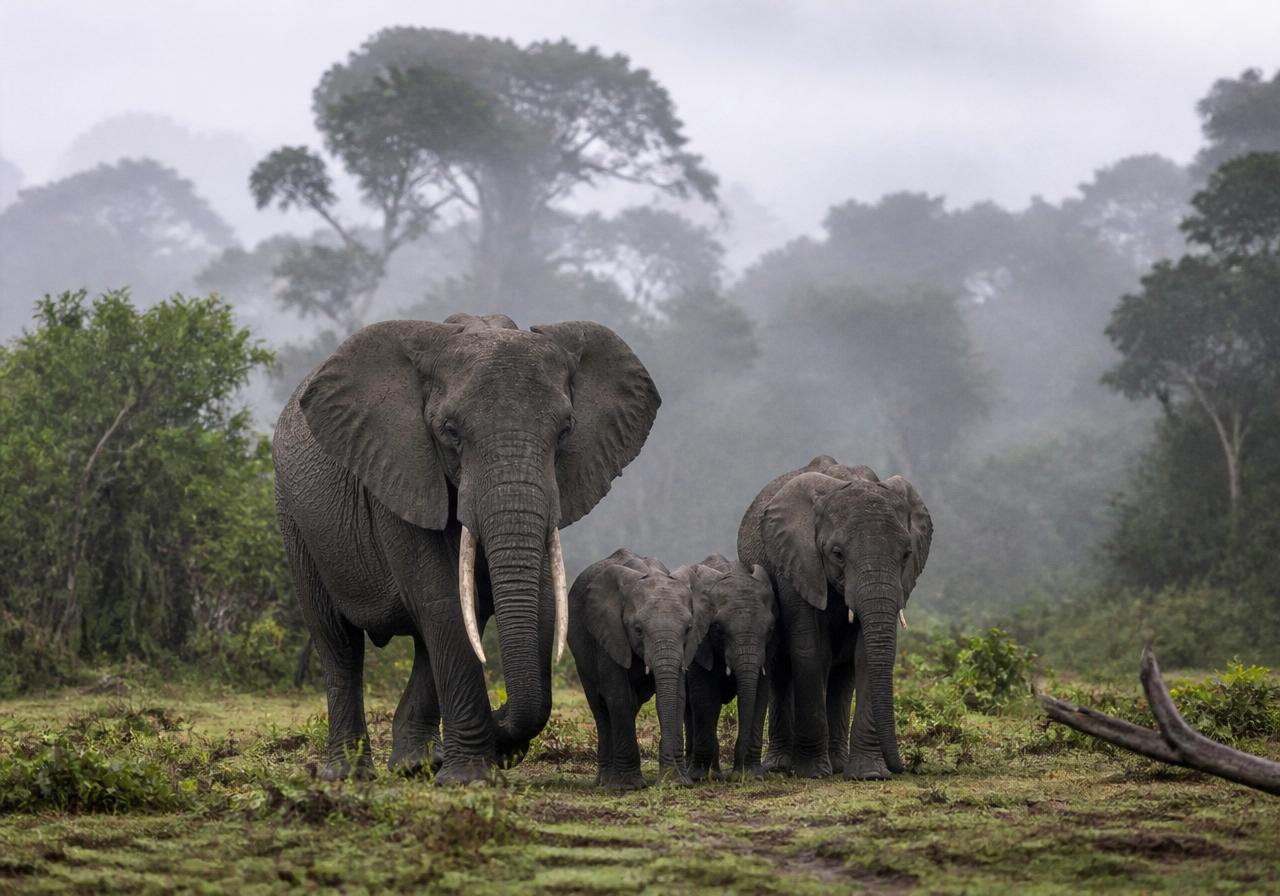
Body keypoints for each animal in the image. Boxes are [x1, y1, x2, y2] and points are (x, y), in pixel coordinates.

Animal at [272, 313, 660, 783]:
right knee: (339, 642)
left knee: (423, 643)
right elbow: (443, 601)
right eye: (450, 432)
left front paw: (486, 755)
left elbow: (529, 603)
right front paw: (471, 778)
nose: (499, 719)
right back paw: (349, 775)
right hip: (295, 520)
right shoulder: (400, 473)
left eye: (566, 430)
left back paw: (417, 764)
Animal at [568, 549, 715, 789]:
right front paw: (629, 785)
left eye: (688, 628)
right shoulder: (609, 631)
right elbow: (618, 696)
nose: (666, 783)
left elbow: (676, 697)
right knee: (600, 707)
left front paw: (677, 782)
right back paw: (606, 781)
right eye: (637, 629)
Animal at [675, 554, 776, 781]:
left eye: (770, 629)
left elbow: (760, 694)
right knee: (691, 711)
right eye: (718, 629)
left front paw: (753, 775)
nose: (737, 775)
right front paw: (701, 777)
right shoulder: (700, 645)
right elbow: (705, 696)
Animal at [737, 455, 932, 780]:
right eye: (837, 554)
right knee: (781, 669)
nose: (902, 767)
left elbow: (866, 655)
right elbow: (811, 651)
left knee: (843, 676)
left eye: (906, 554)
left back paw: (839, 764)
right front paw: (812, 772)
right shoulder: (796, 563)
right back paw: (781, 765)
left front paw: (870, 775)